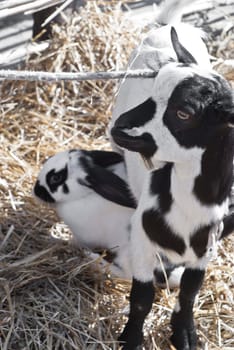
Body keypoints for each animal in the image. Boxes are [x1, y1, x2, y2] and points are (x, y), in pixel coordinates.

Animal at [33, 148, 184, 288]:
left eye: (56, 178)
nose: (36, 191)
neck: (85, 194)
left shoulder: (85, 237)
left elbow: (75, 242)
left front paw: (59, 240)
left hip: (129, 253)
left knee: (128, 275)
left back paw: (94, 260)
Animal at [109, 0, 234, 350]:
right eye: (153, 90)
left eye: (184, 113)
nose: (121, 127)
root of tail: (167, 26)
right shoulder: (141, 238)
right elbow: (141, 297)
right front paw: (131, 339)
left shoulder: (206, 247)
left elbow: (190, 292)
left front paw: (184, 334)